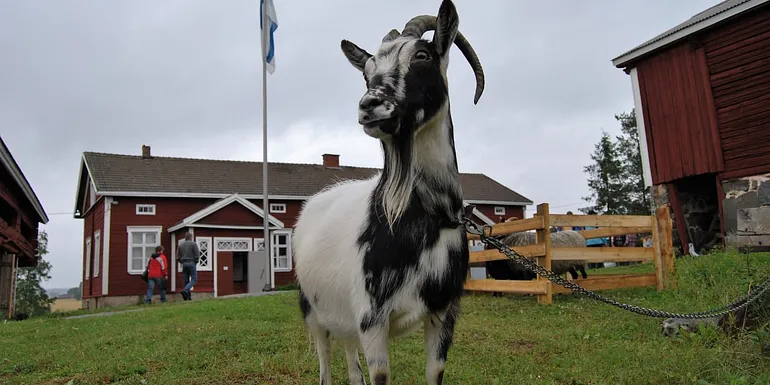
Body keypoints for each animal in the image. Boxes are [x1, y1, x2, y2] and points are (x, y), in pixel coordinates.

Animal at [292, 1, 484, 382]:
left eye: (422, 55)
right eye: (367, 73)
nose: (370, 105)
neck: (425, 217)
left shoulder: (444, 312)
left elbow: (434, 373)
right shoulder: (372, 318)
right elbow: (379, 375)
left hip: (344, 317)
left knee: (352, 367)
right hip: (313, 308)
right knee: (324, 362)